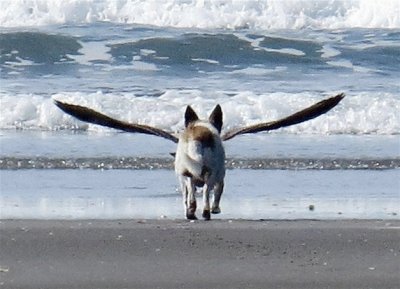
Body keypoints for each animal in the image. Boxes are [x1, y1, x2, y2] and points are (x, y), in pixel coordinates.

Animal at [54, 92, 346, 218]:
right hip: (208, 173)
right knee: (203, 193)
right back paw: (203, 211)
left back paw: (197, 211)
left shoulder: (192, 177)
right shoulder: (216, 178)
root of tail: (199, 136)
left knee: (196, 194)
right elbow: (212, 194)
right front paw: (212, 208)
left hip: (194, 173)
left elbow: (195, 193)